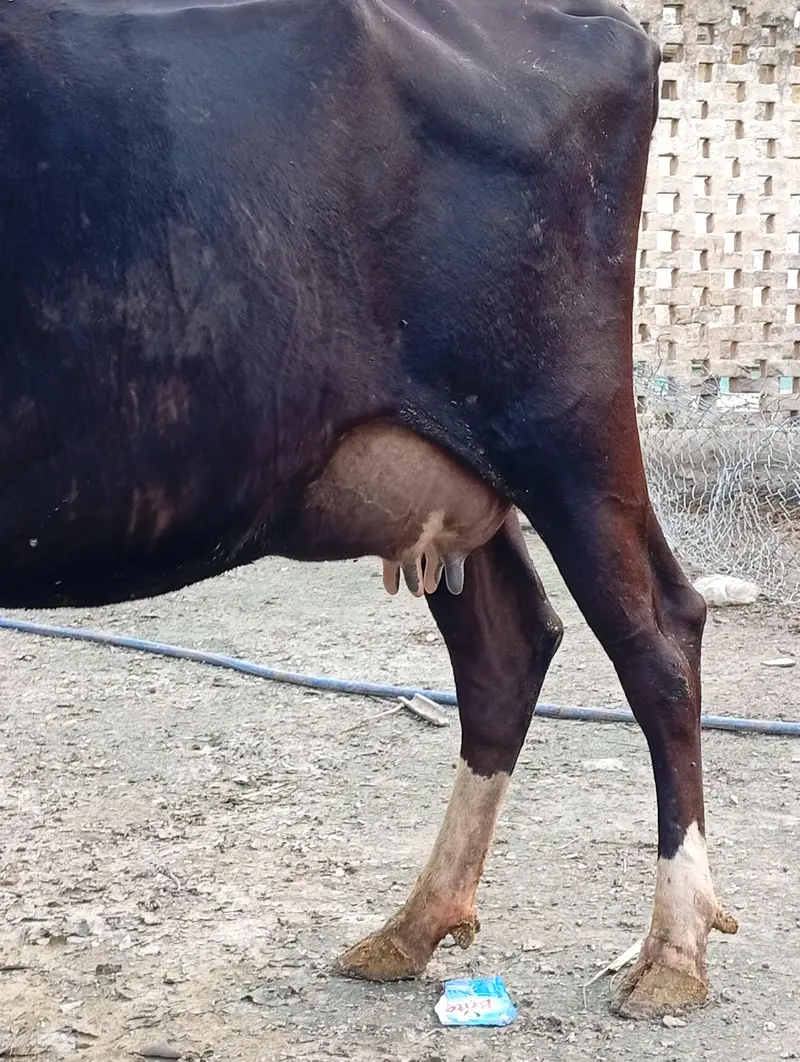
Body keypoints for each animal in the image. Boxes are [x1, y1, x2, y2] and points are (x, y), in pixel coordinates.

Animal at [0, 0, 737, 1018]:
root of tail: (604, 25)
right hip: (455, 463)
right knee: (511, 644)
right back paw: (413, 925)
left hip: (562, 425)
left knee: (659, 632)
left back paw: (672, 951)